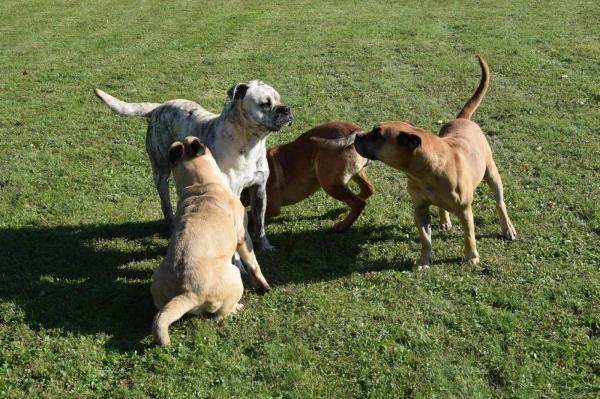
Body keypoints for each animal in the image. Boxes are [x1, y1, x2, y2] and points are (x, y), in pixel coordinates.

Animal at [96, 79, 292, 252]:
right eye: (265, 104)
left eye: (280, 99)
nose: (286, 109)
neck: (250, 143)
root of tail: (159, 107)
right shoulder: (232, 193)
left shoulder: (259, 189)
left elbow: (259, 224)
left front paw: (265, 246)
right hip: (161, 172)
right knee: (165, 205)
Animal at [151, 136, 270, 346]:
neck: (200, 186)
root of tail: (187, 293)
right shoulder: (243, 237)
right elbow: (254, 265)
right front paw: (263, 286)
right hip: (235, 277)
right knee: (220, 315)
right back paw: (237, 308)